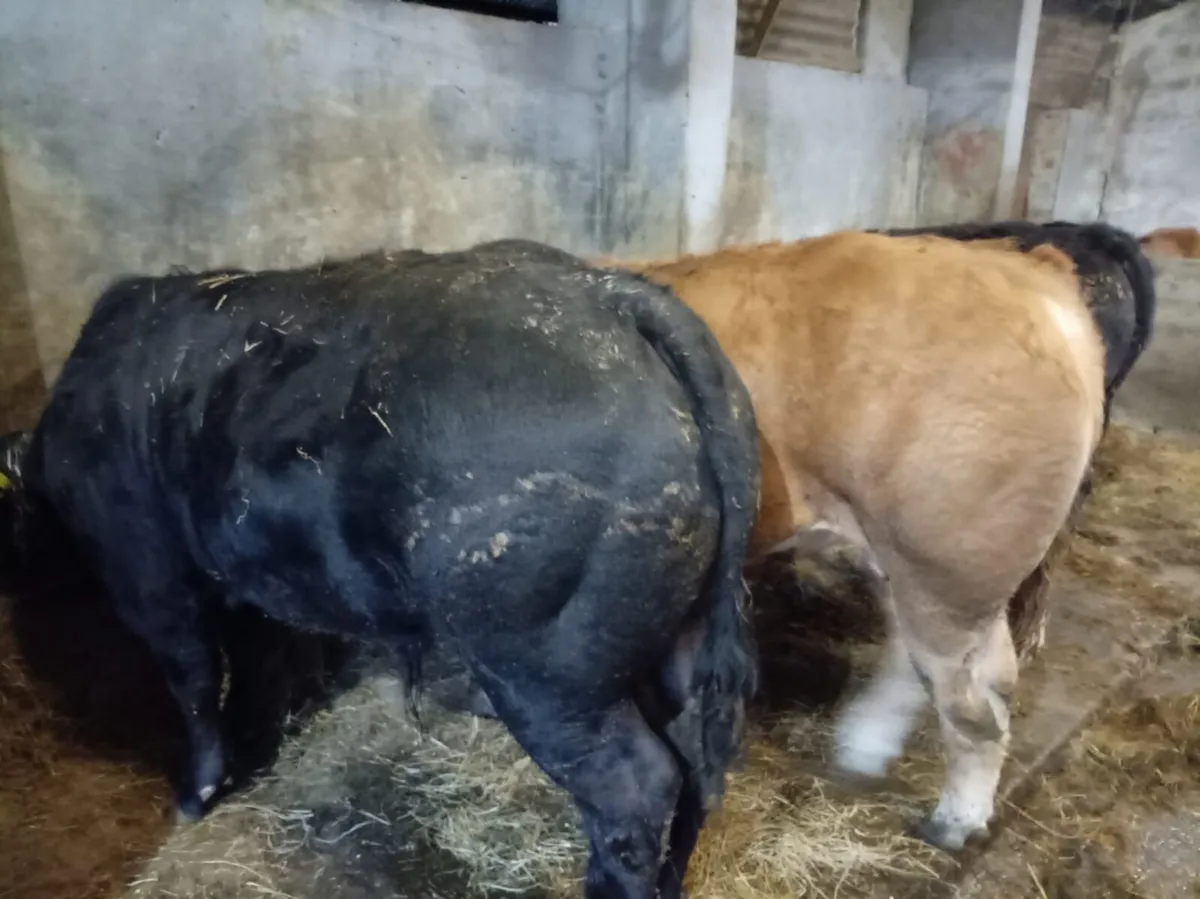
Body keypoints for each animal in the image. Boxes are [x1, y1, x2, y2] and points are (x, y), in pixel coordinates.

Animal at [0, 239, 761, 899]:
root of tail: (607, 296)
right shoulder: (246, 586)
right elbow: (253, 668)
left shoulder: (148, 572)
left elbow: (191, 679)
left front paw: (195, 795)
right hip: (679, 631)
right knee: (693, 762)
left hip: (548, 666)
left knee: (637, 783)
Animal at [615, 231, 1107, 852]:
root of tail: (1033, 277)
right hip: (919, 565)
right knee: (962, 670)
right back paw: (866, 748)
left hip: (943, 567)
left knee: (968, 699)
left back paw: (951, 820)